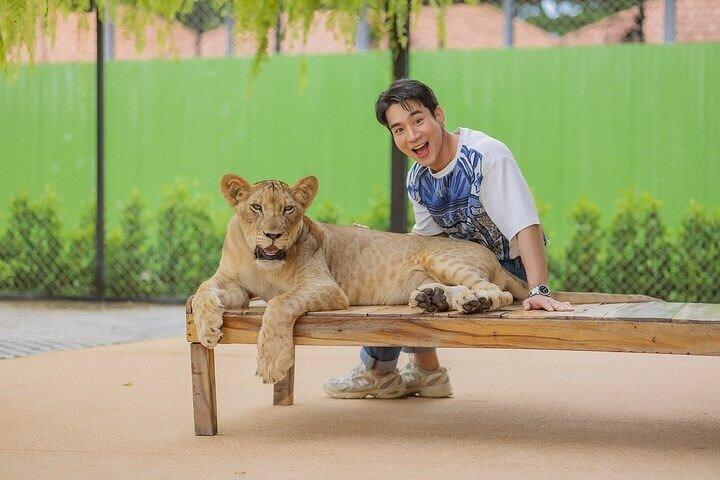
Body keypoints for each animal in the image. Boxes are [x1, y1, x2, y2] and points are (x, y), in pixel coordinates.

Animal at [192, 174, 653, 384]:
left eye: (289, 209)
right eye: (255, 207)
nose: (272, 235)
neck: (266, 263)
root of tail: (493, 256)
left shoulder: (328, 288)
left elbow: (280, 304)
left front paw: (272, 360)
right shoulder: (232, 283)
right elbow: (203, 290)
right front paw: (208, 324)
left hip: (440, 254)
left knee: (498, 293)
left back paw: (470, 303)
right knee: (467, 290)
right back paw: (435, 299)